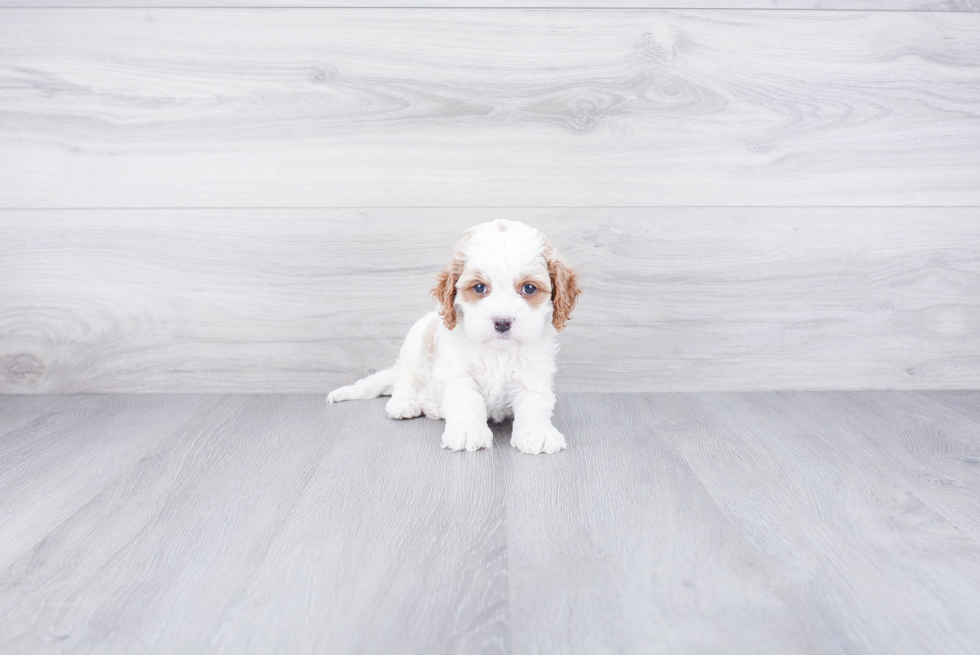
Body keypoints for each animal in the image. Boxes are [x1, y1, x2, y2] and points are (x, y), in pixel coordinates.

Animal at [326, 218, 580, 454]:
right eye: (479, 288)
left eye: (529, 288)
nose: (502, 322)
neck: (498, 350)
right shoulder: (458, 371)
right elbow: (466, 401)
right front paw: (468, 432)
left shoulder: (533, 371)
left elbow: (534, 402)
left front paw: (538, 434)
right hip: (414, 348)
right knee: (405, 380)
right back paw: (404, 403)